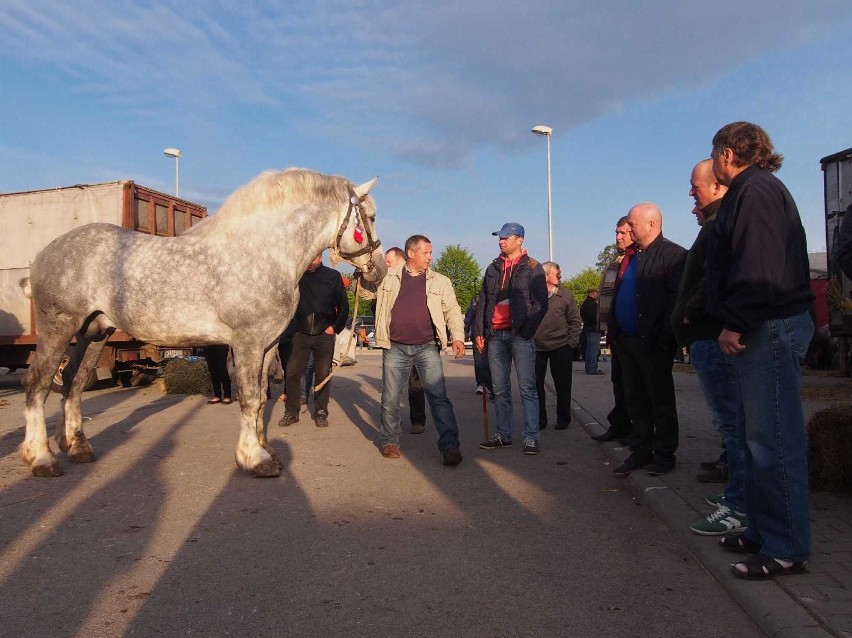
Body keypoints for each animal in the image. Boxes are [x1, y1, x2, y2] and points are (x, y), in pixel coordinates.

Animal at [20, 170, 386, 480]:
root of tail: (43, 255)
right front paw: (255, 459)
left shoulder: (267, 346)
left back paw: (77, 447)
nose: (379, 270)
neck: (263, 252)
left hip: (94, 333)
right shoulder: (247, 343)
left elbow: (262, 397)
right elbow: (249, 398)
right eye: (370, 217)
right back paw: (41, 459)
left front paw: (266, 449)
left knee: (73, 382)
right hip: (59, 329)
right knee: (38, 384)